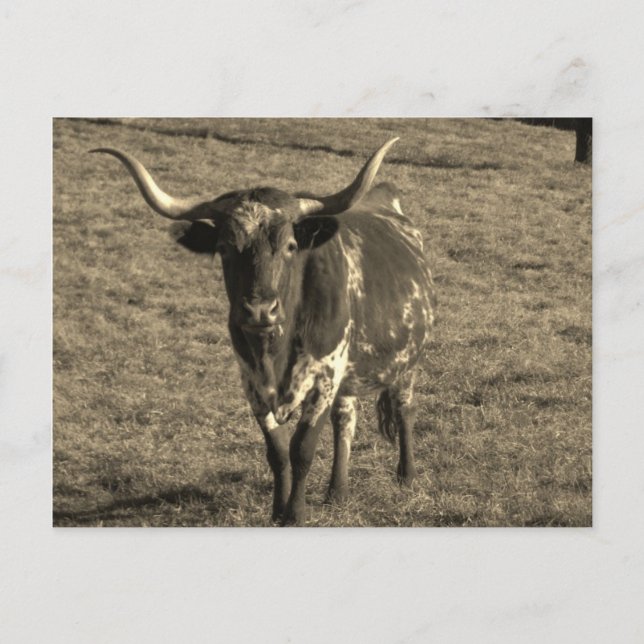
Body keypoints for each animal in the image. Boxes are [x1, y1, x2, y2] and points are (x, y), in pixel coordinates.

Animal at [92, 138, 436, 526]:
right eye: (224, 248)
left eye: (290, 246)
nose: (258, 310)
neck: (276, 350)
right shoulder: (253, 385)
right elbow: (278, 452)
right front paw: (277, 510)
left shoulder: (324, 380)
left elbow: (302, 450)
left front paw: (295, 515)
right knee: (346, 419)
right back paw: (337, 492)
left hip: (406, 363)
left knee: (404, 409)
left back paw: (406, 475)